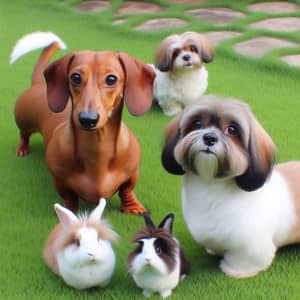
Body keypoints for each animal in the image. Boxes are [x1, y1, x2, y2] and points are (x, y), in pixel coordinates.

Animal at [163, 95, 300, 278]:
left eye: (232, 129)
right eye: (197, 123)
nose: (209, 138)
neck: (211, 188)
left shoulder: (251, 245)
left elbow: (245, 259)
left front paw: (233, 270)